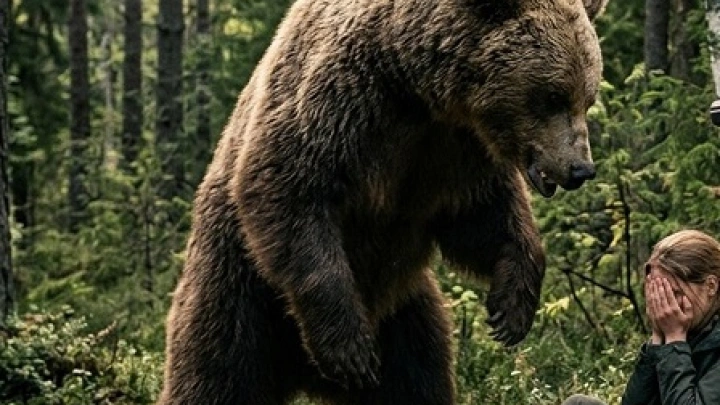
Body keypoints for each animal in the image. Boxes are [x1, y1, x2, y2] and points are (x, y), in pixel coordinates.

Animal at [158, 0, 607, 404]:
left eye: (588, 96)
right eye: (552, 96)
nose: (580, 169)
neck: (417, 91)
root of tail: (304, 377)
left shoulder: (457, 152)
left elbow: (484, 218)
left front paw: (510, 310)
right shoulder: (341, 104)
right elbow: (290, 190)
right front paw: (349, 350)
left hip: (405, 318)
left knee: (418, 377)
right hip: (240, 291)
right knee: (219, 371)